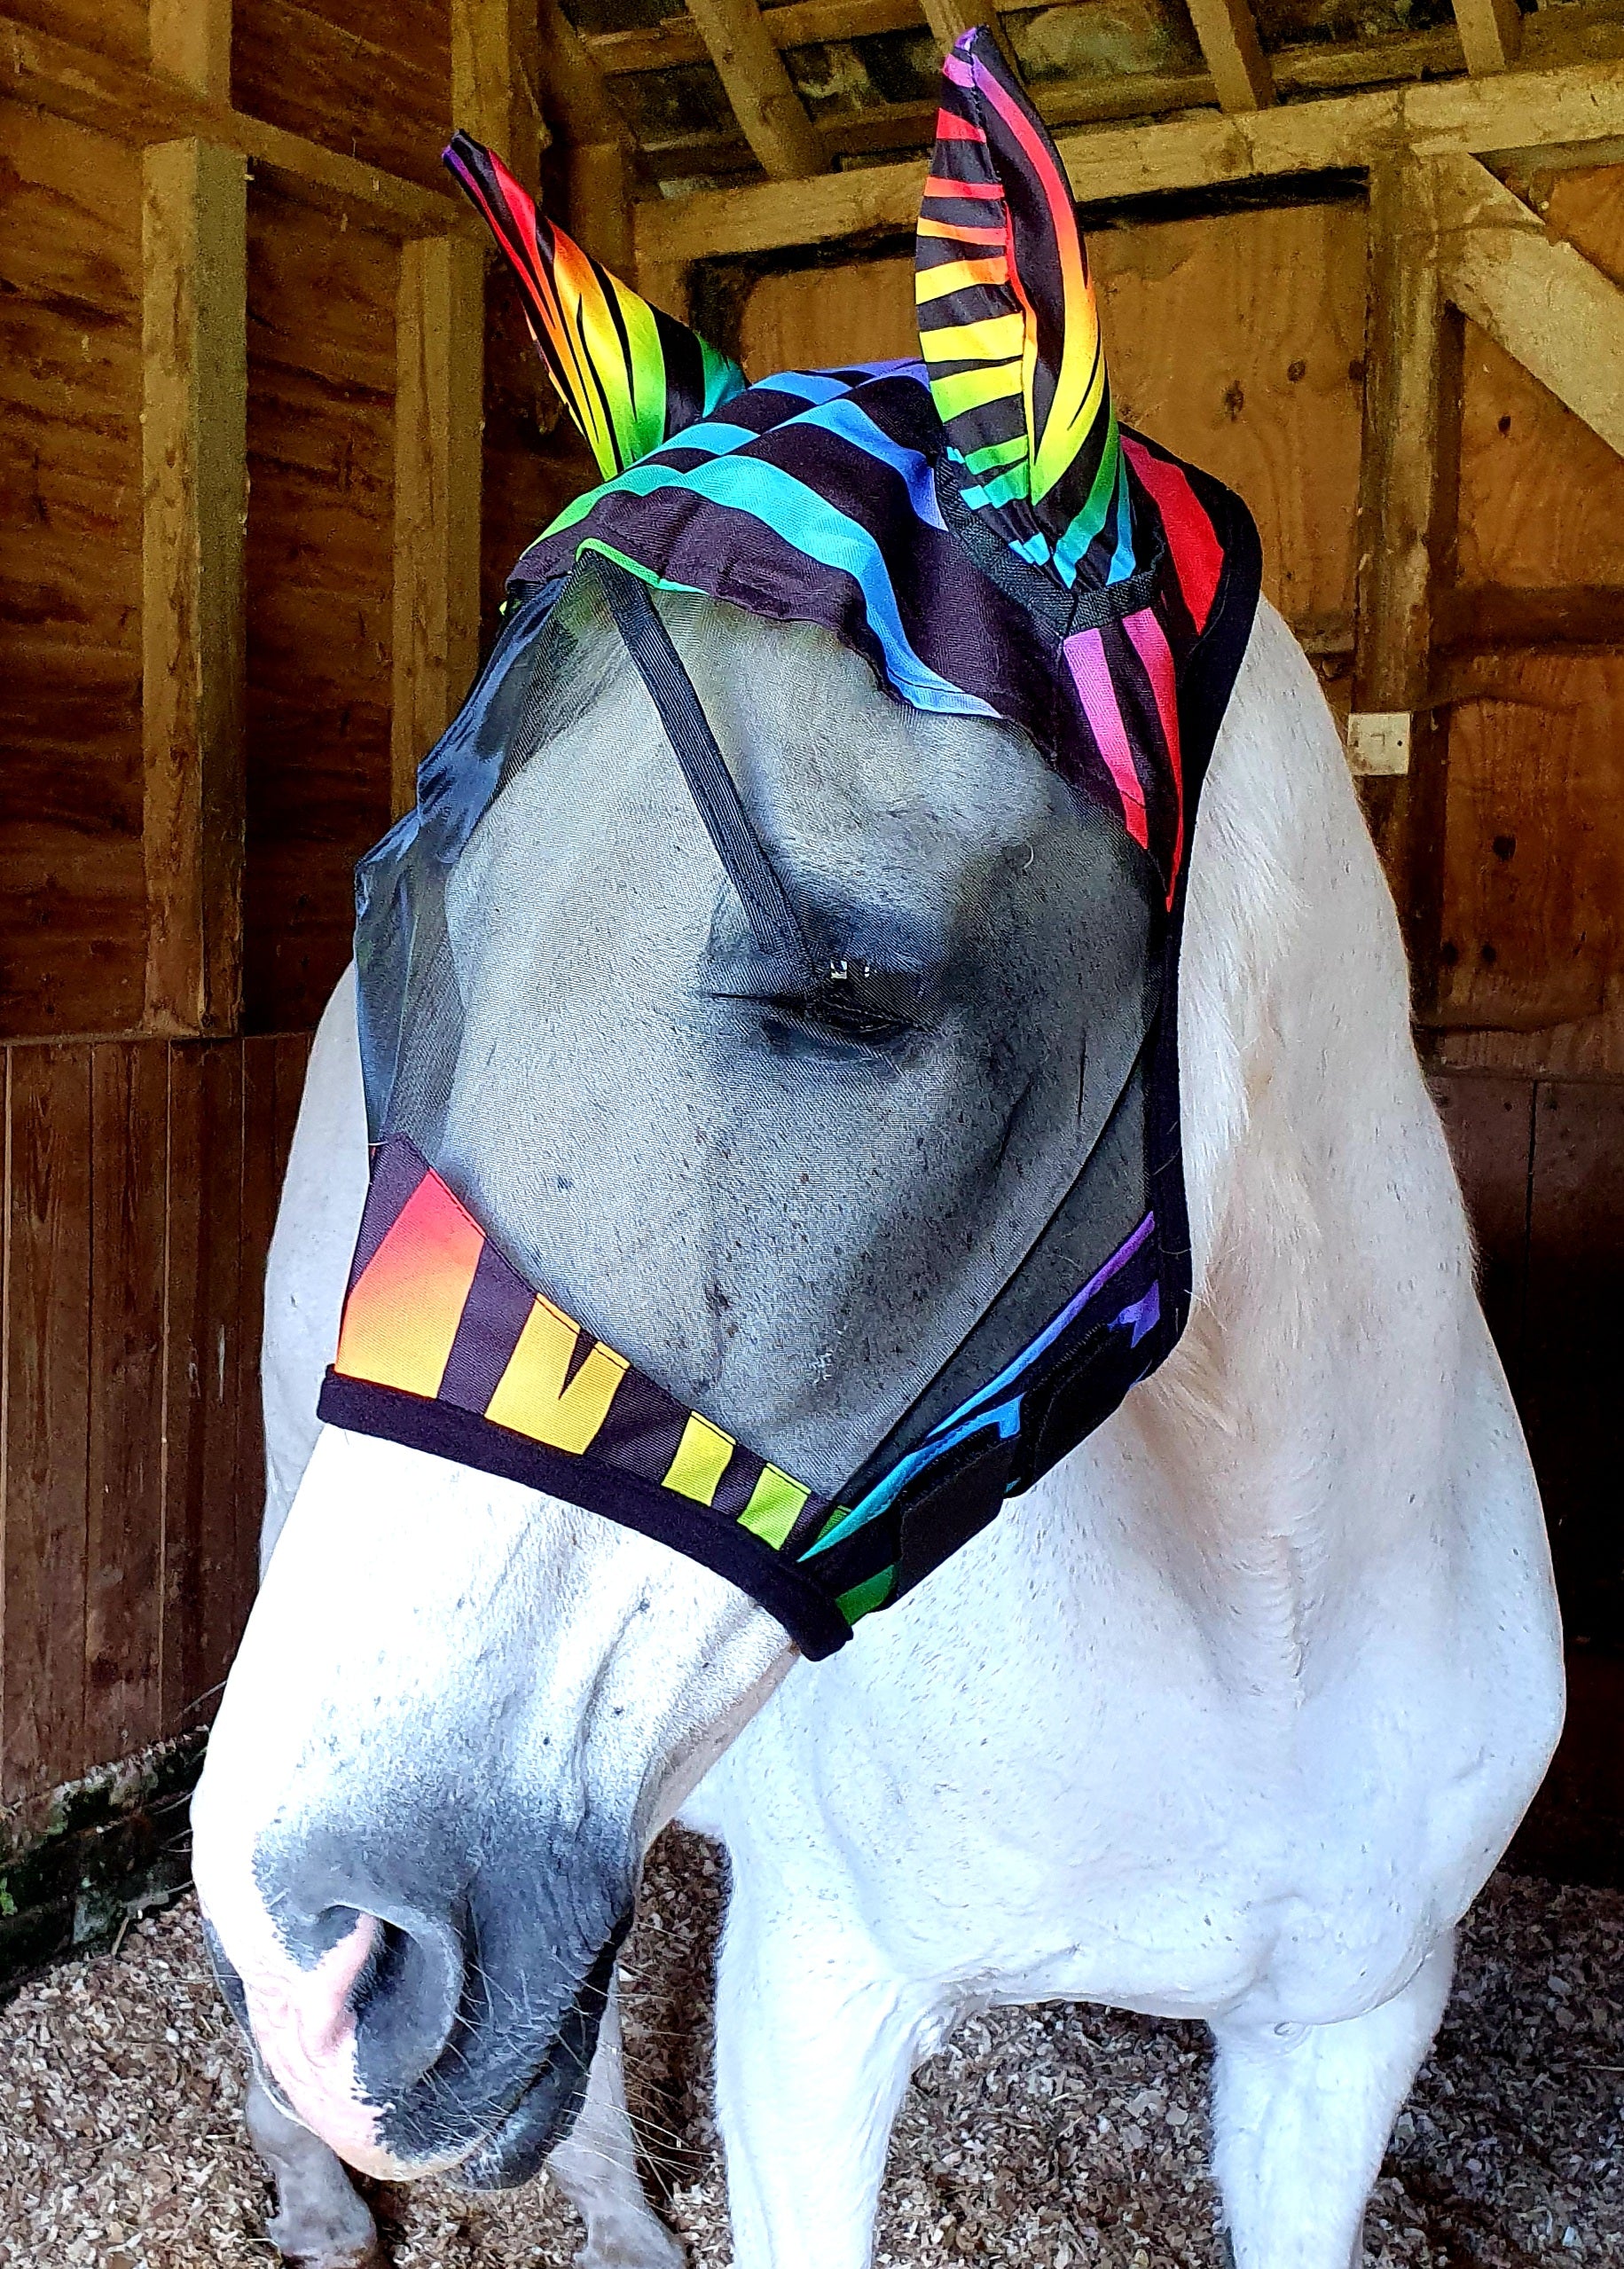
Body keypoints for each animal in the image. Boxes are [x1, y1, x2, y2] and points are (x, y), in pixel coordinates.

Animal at [190, 576, 1560, 2259]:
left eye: (854, 995)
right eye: (420, 921)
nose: (323, 1936)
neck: (1267, 1616)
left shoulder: (1342, 2042)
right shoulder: (818, 2014)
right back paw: (321, 2194)